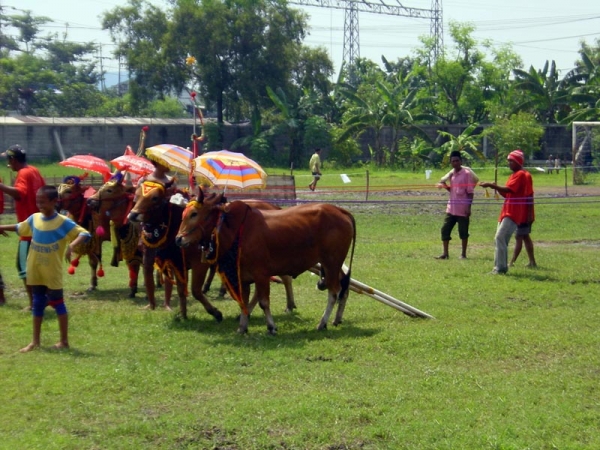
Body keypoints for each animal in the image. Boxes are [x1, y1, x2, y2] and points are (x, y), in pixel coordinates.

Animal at [175, 190, 356, 334]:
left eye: (194, 214)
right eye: (182, 214)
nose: (178, 239)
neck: (236, 230)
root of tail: (340, 210)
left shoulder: (260, 274)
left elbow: (263, 302)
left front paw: (271, 327)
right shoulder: (243, 277)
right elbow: (244, 302)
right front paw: (242, 327)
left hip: (331, 263)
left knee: (334, 291)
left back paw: (322, 323)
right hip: (332, 265)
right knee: (343, 288)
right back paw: (336, 319)